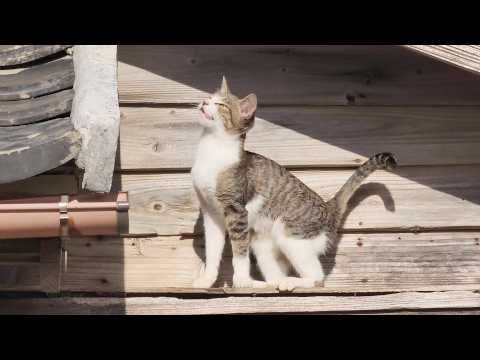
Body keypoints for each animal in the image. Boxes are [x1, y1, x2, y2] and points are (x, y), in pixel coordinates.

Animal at [191, 76, 398, 290]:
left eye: (221, 105)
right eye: (210, 98)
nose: (204, 102)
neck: (212, 150)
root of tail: (328, 207)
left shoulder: (236, 211)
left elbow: (239, 252)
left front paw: (242, 282)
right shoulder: (211, 212)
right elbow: (212, 252)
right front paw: (206, 280)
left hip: (290, 236)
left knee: (317, 278)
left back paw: (290, 282)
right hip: (262, 243)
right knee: (275, 275)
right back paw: (271, 283)